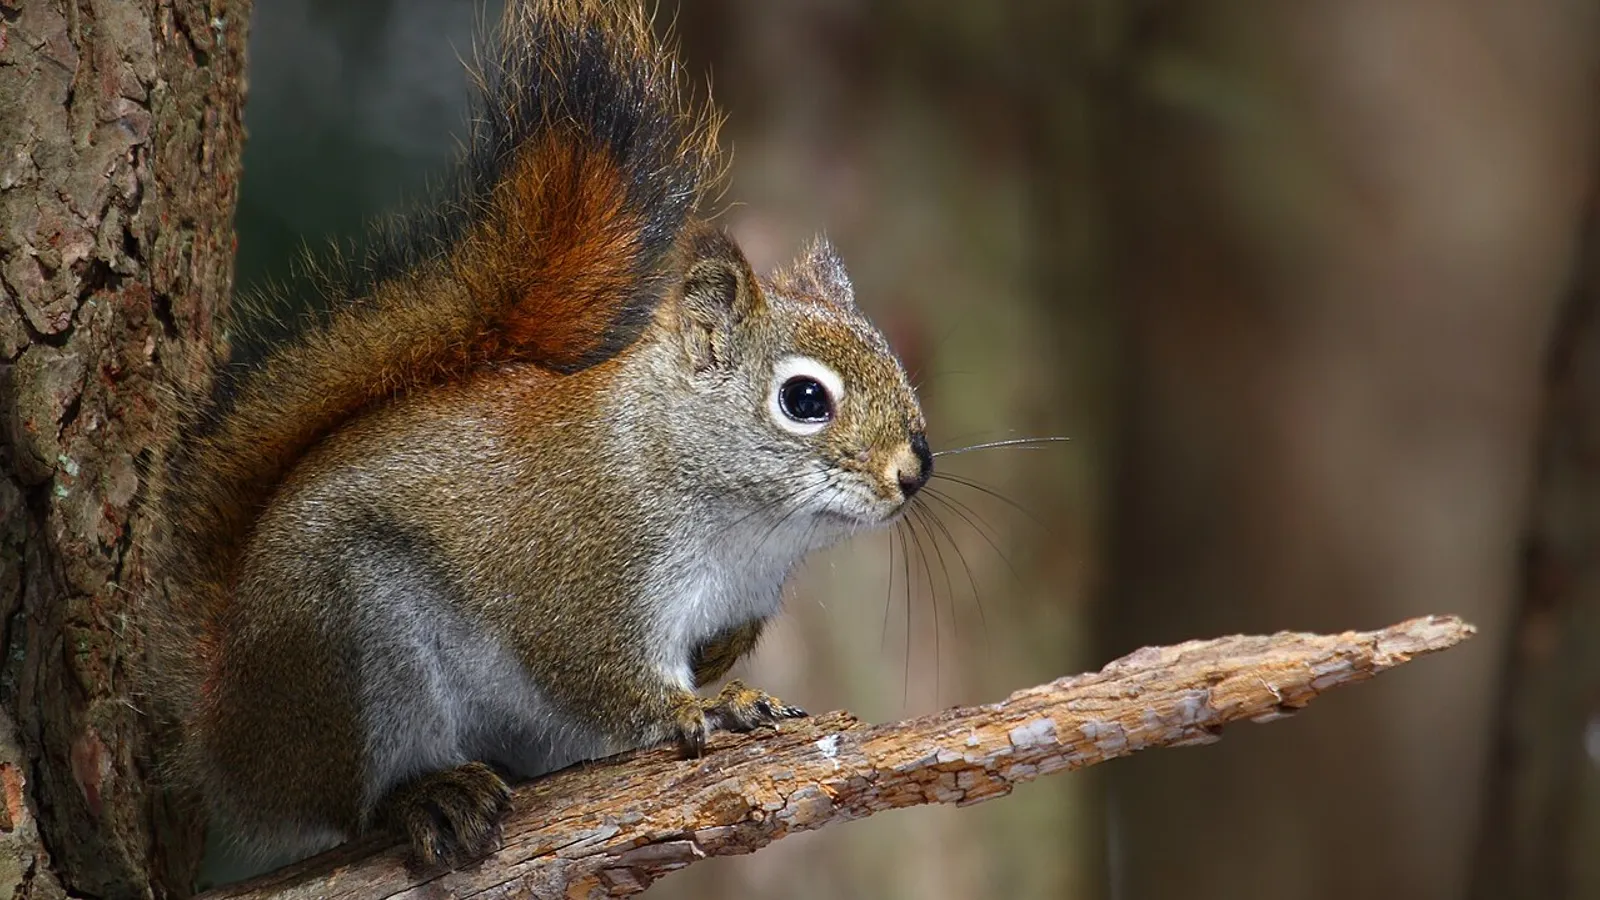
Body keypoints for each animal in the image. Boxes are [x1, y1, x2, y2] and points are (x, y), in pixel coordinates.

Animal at [148, 0, 930, 872]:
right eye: (803, 398)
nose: (914, 471)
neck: (743, 523)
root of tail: (227, 731)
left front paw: (727, 670)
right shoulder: (581, 572)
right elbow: (596, 671)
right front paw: (702, 707)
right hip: (352, 648)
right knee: (353, 799)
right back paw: (428, 794)